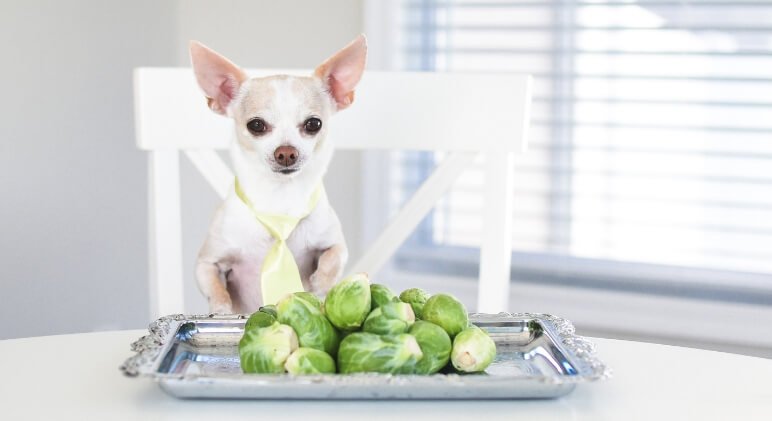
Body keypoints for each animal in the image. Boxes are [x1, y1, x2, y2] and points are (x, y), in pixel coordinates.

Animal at [188, 35, 366, 312]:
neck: (279, 198)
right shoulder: (207, 263)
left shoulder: (335, 244)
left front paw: (319, 284)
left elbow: (333, 258)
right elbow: (216, 288)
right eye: (256, 125)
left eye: (314, 124)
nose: (286, 153)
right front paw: (221, 309)